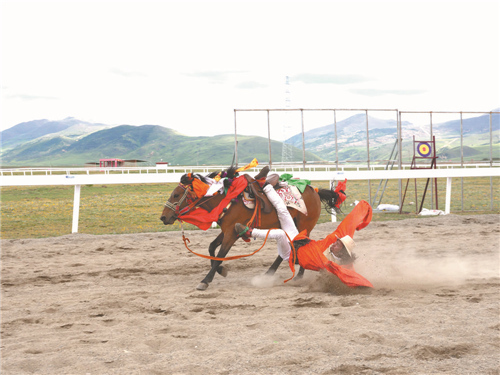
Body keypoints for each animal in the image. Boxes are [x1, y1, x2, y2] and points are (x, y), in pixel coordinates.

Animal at [162, 167, 342, 290]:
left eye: (176, 195)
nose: (163, 217)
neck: (227, 198)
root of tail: (315, 190)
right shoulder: (226, 230)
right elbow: (212, 248)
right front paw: (221, 270)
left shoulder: (231, 233)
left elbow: (220, 254)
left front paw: (205, 280)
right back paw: (269, 273)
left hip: (304, 225)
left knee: (301, 244)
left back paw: (298, 276)